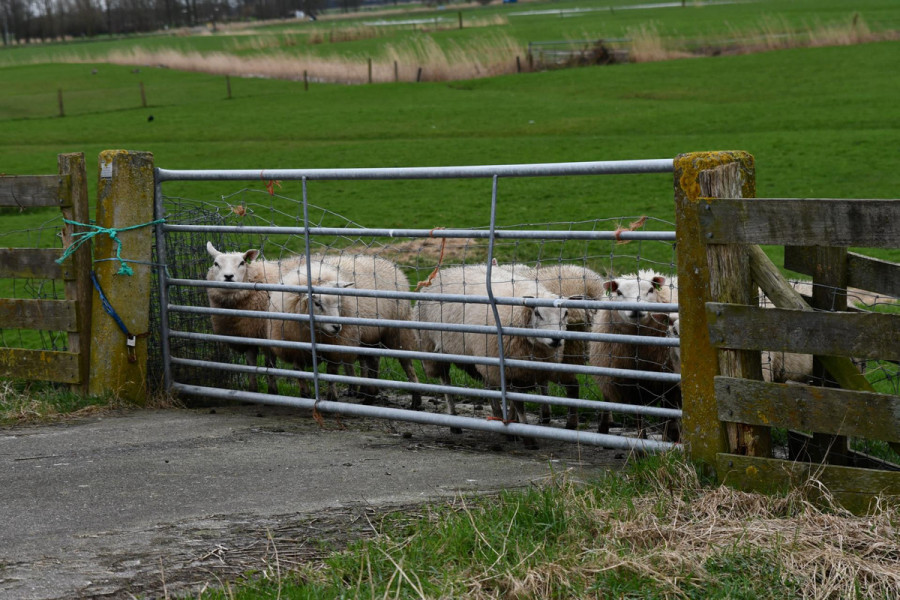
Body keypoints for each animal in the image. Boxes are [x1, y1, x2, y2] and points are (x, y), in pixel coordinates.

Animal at [416, 262, 568, 440]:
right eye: (537, 313)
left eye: (566, 314)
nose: (556, 339)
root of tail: (447, 271)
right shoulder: (495, 365)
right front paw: (508, 427)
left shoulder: (520, 372)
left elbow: (514, 401)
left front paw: (513, 423)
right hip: (434, 350)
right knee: (446, 384)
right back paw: (454, 420)